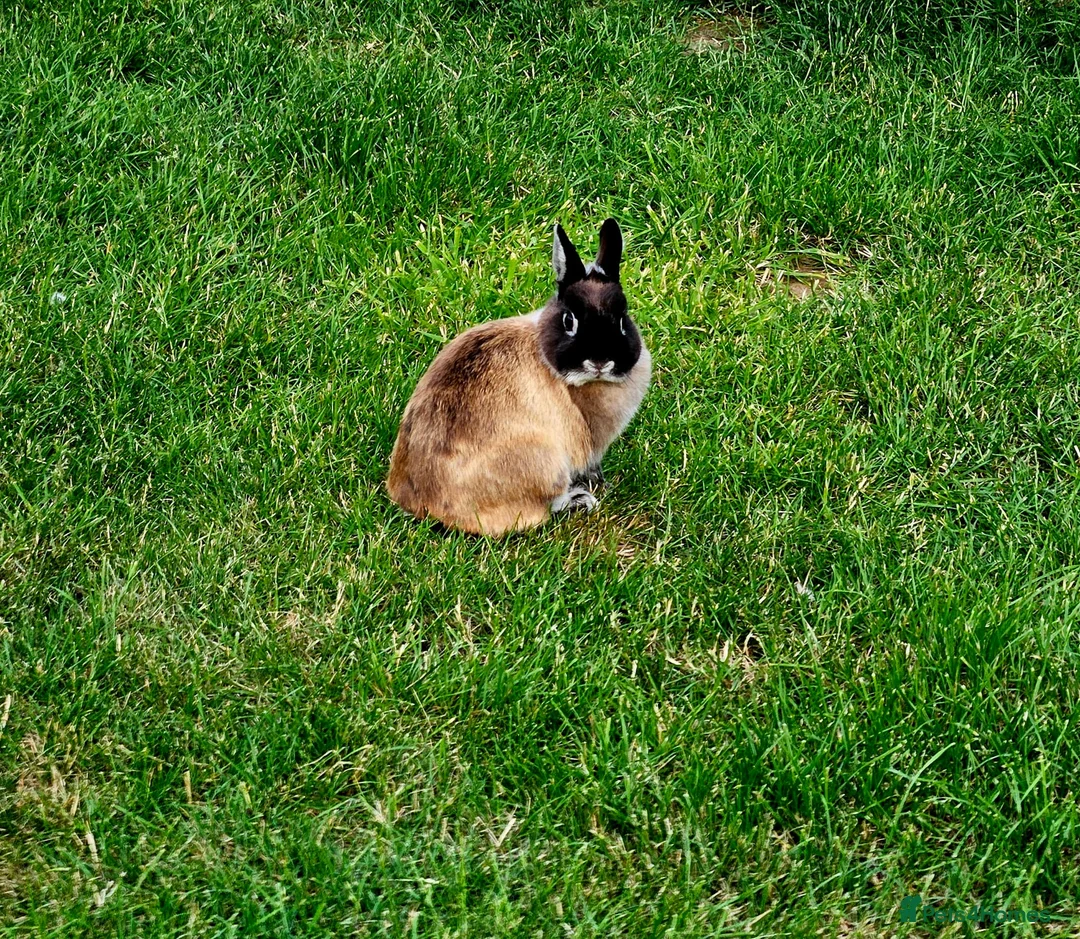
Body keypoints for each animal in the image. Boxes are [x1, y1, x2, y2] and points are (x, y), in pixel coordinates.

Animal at [386, 218, 651, 536]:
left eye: (622, 319)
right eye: (569, 320)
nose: (600, 361)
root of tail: (426, 505)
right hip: (546, 463)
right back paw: (578, 501)